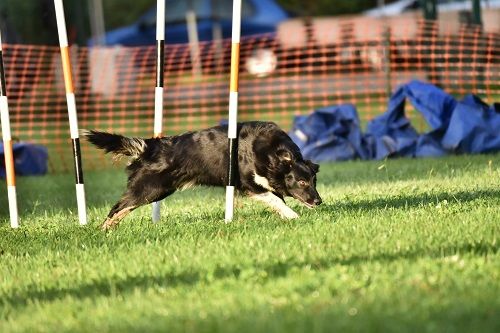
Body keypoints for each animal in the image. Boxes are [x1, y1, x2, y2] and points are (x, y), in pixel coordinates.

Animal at [83, 120, 322, 230]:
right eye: (302, 182)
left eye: (314, 181)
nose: (319, 202)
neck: (271, 153)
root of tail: (152, 146)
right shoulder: (248, 185)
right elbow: (276, 199)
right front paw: (293, 216)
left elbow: (277, 199)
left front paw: (286, 215)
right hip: (150, 189)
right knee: (118, 207)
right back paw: (103, 230)